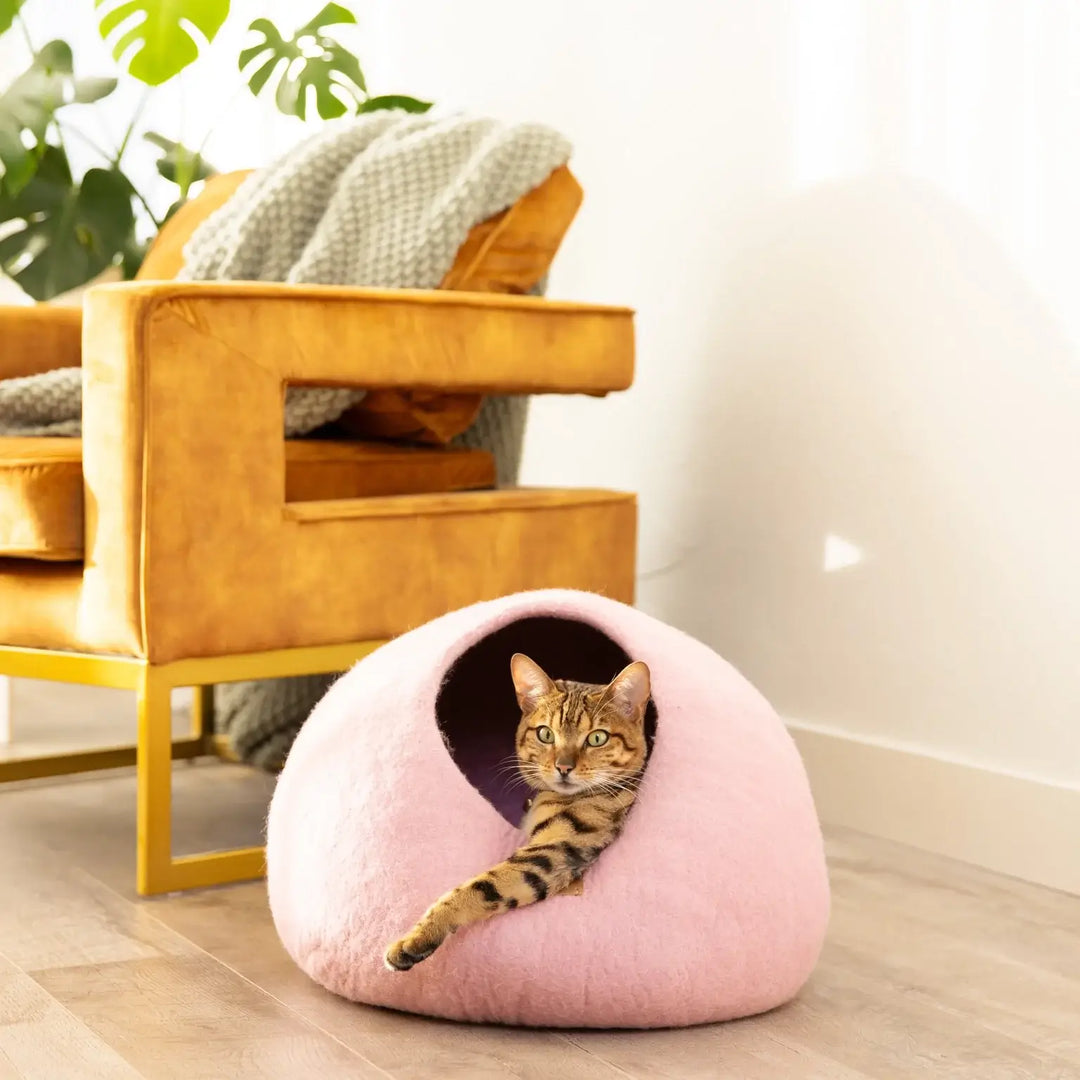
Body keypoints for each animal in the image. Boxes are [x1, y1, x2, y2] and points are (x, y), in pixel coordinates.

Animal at [384, 652, 648, 976]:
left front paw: (416, 938)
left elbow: (481, 887)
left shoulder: (554, 852)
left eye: (597, 738)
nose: (563, 767)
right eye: (545, 734)